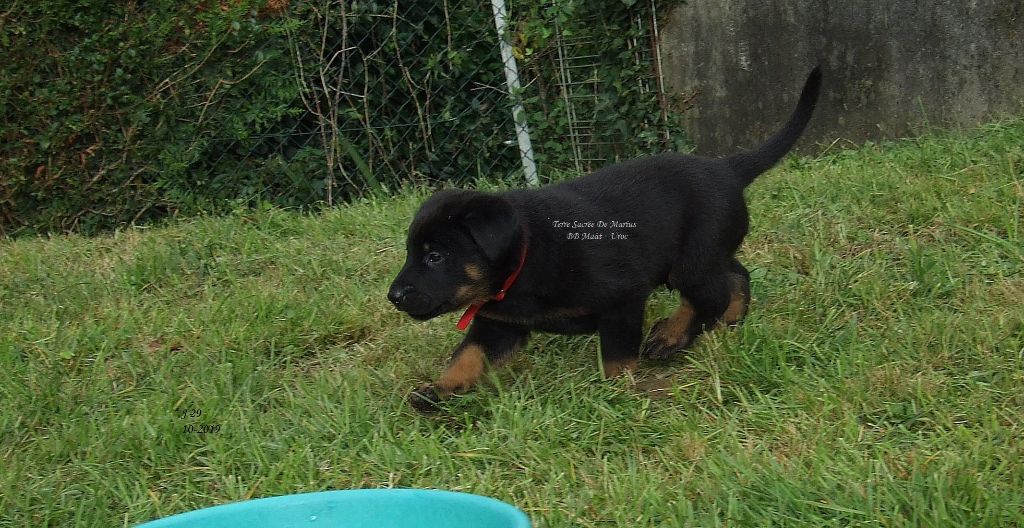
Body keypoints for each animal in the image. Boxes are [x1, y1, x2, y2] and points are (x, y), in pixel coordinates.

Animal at [387, 67, 819, 413]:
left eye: (435, 256)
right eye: (413, 253)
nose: (394, 296)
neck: (525, 257)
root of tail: (727, 168)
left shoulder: (622, 299)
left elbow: (616, 356)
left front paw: (619, 392)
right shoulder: (499, 324)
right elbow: (468, 356)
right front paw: (438, 390)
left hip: (691, 259)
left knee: (707, 296)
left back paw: (672, 336)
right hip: (703, 253)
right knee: (734, 274)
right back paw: (731, 317)